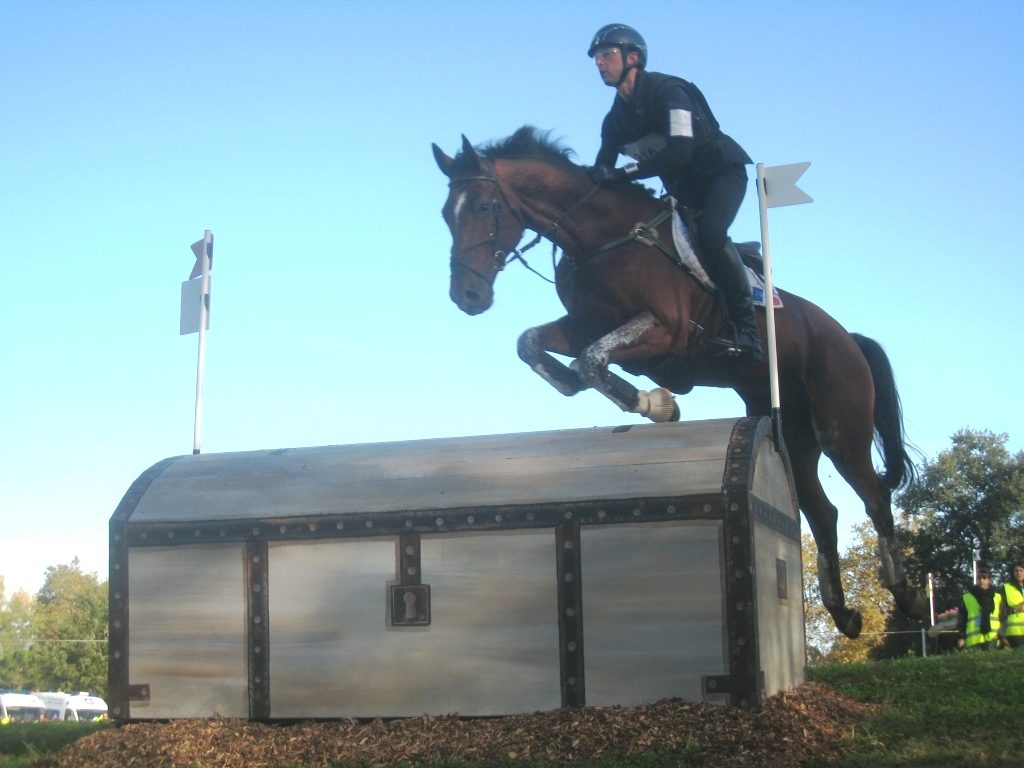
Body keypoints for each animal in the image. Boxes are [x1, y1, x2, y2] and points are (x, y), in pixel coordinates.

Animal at [430, 126, 929, 638]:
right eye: (448, 214)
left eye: (483, 207)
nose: (467, 296)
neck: (600, 236)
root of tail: (847, 336)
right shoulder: (584, 326)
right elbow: (533, 345)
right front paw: (601, 389)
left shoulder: (666, 331)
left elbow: (592, 360)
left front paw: (658, 403)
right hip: (790, 430)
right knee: (822, 511)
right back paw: (843, 612)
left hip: (839, 425)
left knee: (874, 497)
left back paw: (905, 594)